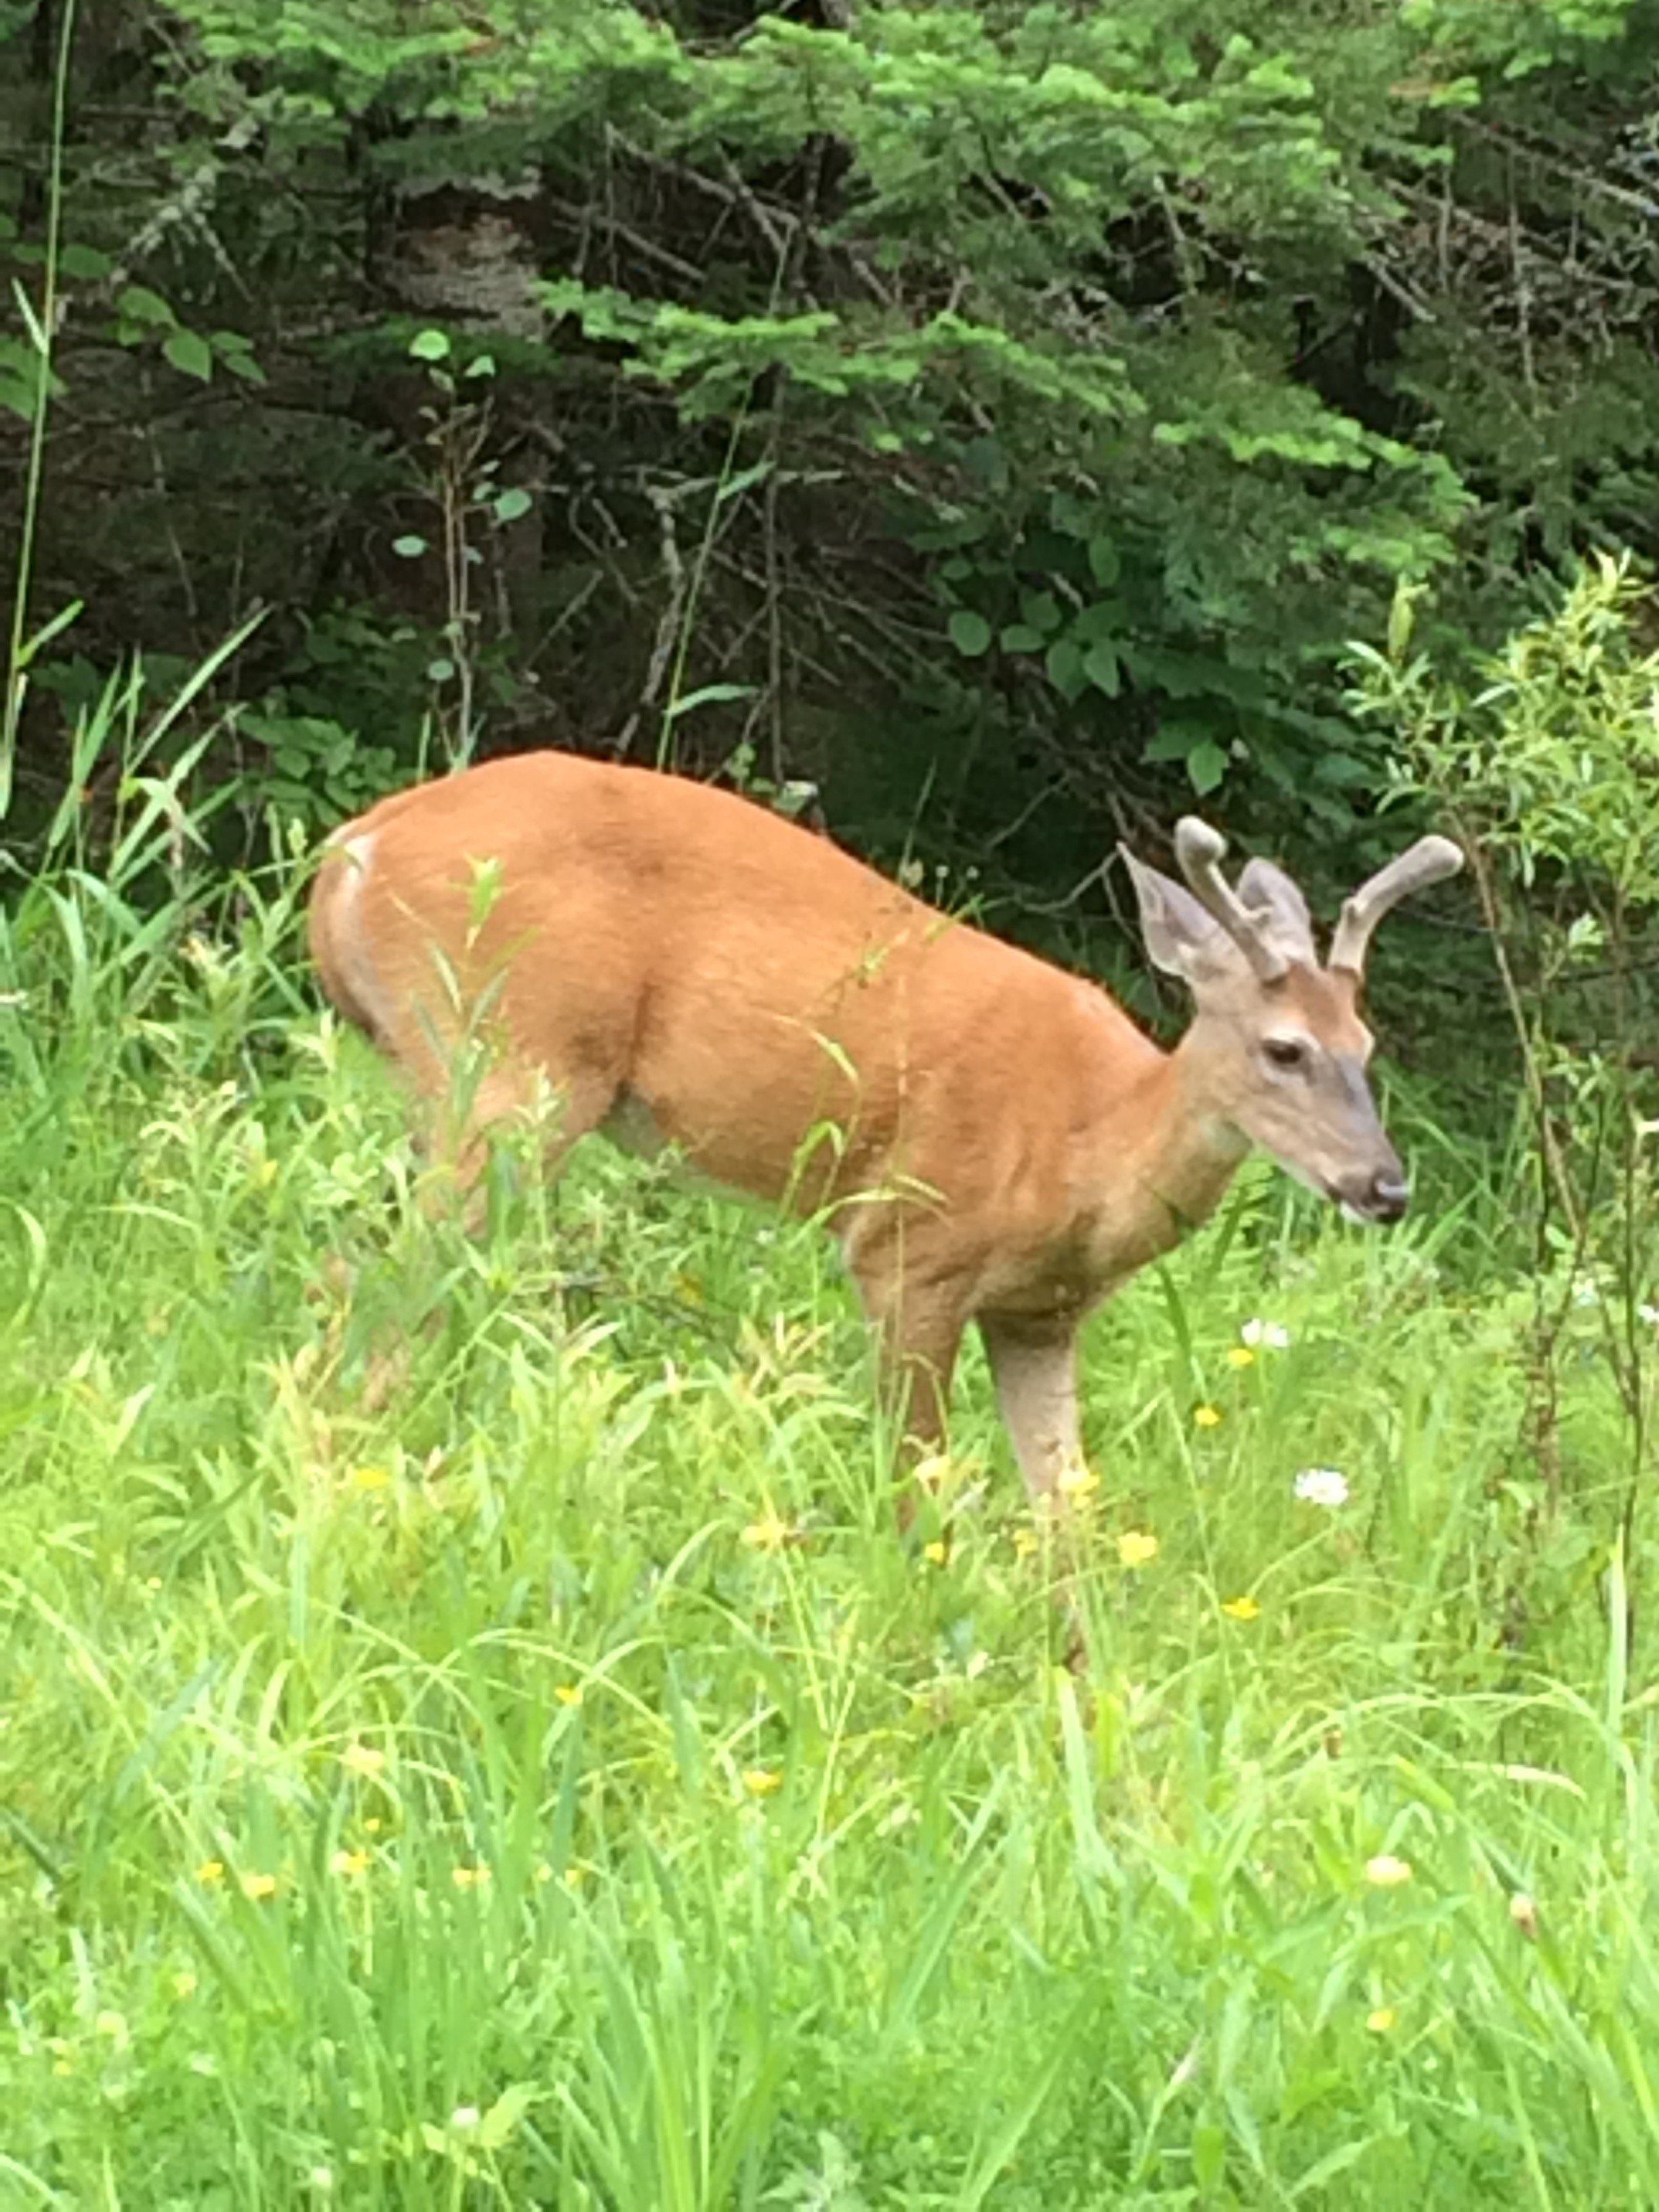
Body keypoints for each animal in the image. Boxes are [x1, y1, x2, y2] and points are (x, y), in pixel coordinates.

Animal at [305, 756, 1460, 1504]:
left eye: (1365, 1043)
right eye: (1284, 1049)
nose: (1385, 1185)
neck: (1084, 1147)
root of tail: (353, 850)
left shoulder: (1039, 1315)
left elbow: (1066, 1515)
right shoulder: (910, 1249)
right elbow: (917, 1483)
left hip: (444, 1080)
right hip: (514, 1067)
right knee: (391, 1291)